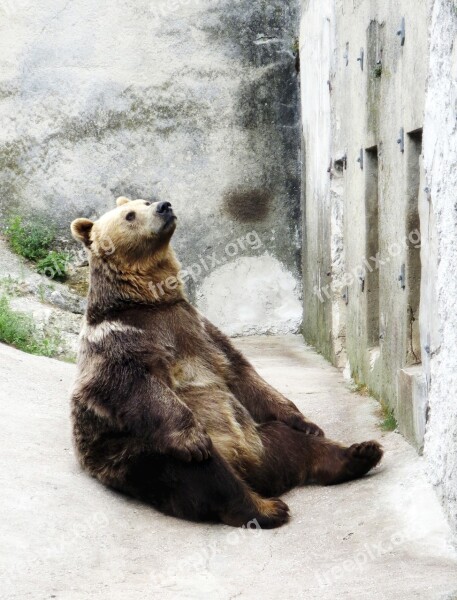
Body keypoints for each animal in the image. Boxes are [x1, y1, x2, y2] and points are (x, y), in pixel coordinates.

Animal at [70, 198, 382, 528]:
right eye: (129, 215)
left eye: (144, 201)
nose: (164, 206)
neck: (148, 300)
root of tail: (249, 468)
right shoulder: (119, 340)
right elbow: (135, 386)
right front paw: (191, 438)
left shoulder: (198, 330)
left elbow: (241, 373)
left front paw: (307, 423)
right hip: (139, 454)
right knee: (207, 474)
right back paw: (265, 508)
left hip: (262, 437)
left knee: (294, 443)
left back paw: (360, 453)